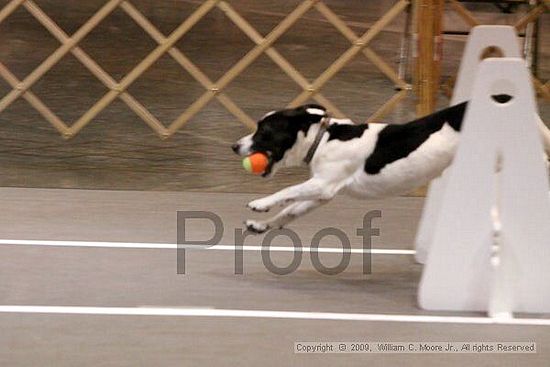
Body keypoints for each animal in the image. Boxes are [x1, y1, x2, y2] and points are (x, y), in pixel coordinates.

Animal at [232, 102, 550, 234]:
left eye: (264, 132)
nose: (235, 146)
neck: (325, 138)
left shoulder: (323, 184)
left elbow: (286, 191)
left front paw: (261, 203)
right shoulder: (322, 195)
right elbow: (289, 211)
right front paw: (262, 225)